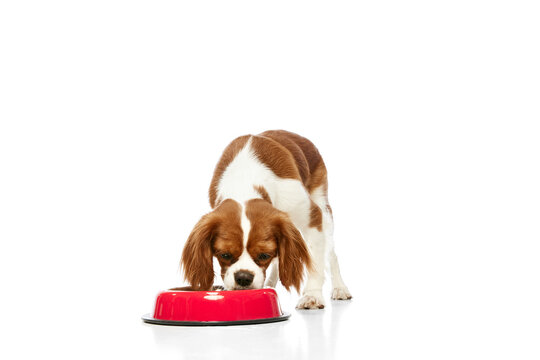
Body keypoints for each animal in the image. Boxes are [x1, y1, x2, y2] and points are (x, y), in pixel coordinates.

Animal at [179, 131, 352, 308]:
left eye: (264, 255)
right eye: (225, 255)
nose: (243, 277)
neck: (245, 180)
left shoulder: (312, 217)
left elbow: (315, 264)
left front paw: (312, 295)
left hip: (324, 210)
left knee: (331, 254)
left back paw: (340, 288)